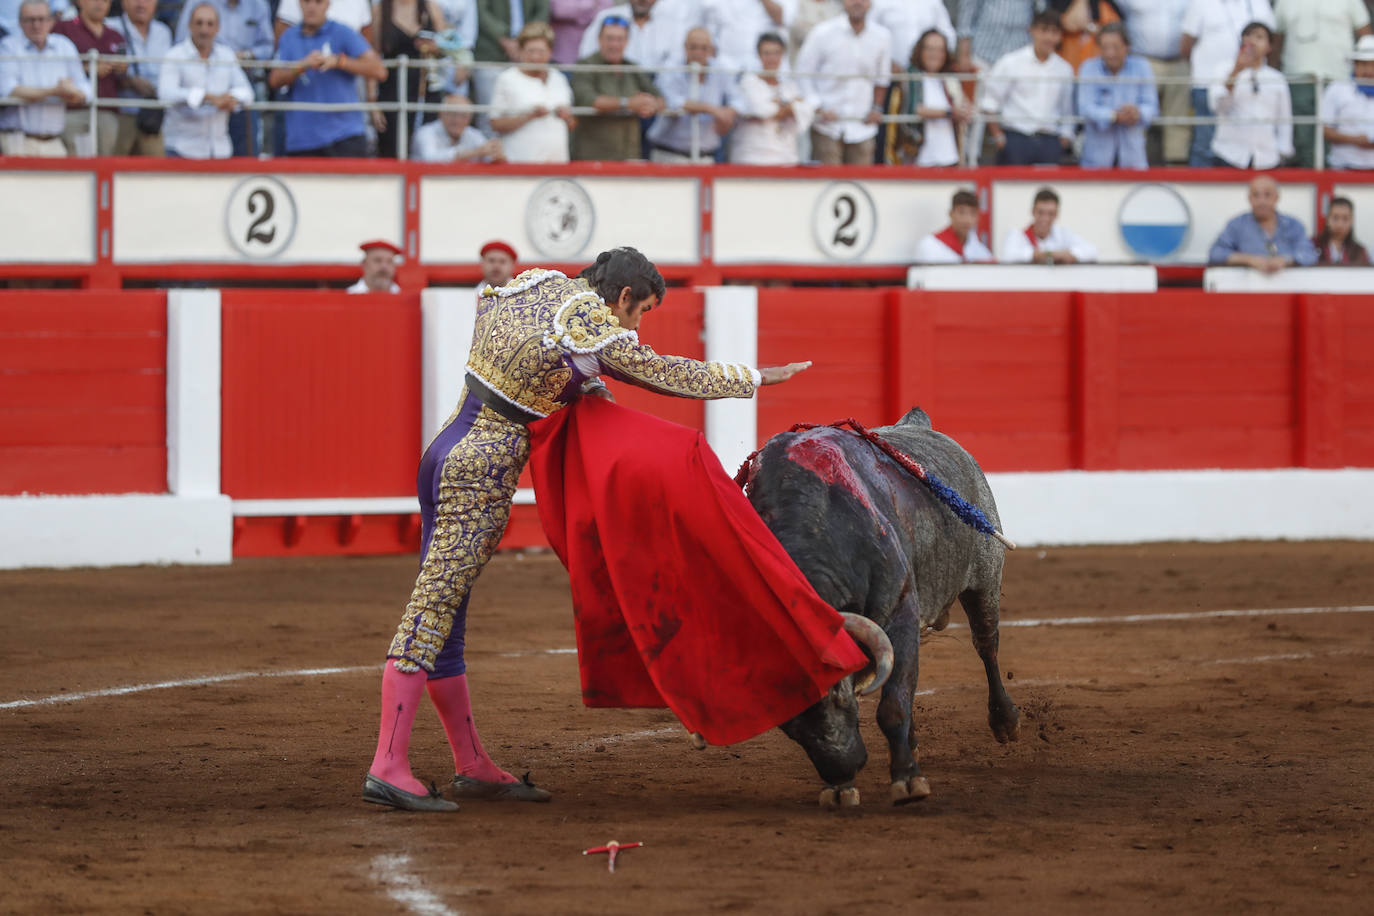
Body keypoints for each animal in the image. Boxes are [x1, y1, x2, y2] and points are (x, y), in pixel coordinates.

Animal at [741, 411, 1022, 807]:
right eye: (787, 723)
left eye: (838, 694)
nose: (842, 768)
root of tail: (917, 423)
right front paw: (841, 791)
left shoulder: (899, 612)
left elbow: (893, 706)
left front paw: (907, 781)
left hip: (985, 578)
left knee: (986, 646)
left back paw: (1005, 722)